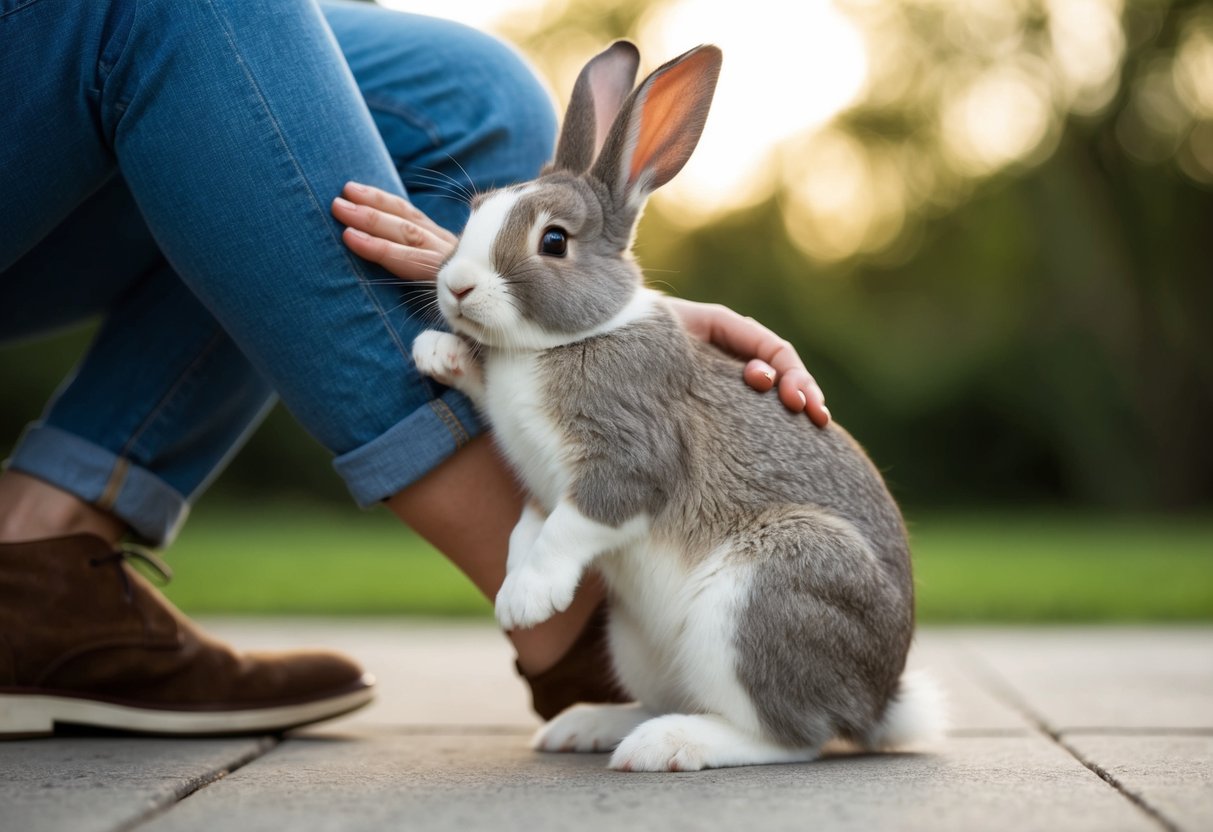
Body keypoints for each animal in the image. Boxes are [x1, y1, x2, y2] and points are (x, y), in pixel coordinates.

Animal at [410, 40, 944, 772]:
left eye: (553, 241)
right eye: (477, 211)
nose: (456, 287)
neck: (567, 339)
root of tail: (879, 699)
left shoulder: (629, 461)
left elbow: (568, 529)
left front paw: (525, 601)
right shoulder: (544, 483)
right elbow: (528, 527)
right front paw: (437, 353)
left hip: (759, 597)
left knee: (791, 737)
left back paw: (666, 745)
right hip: (636, 641)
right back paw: (588, 725)